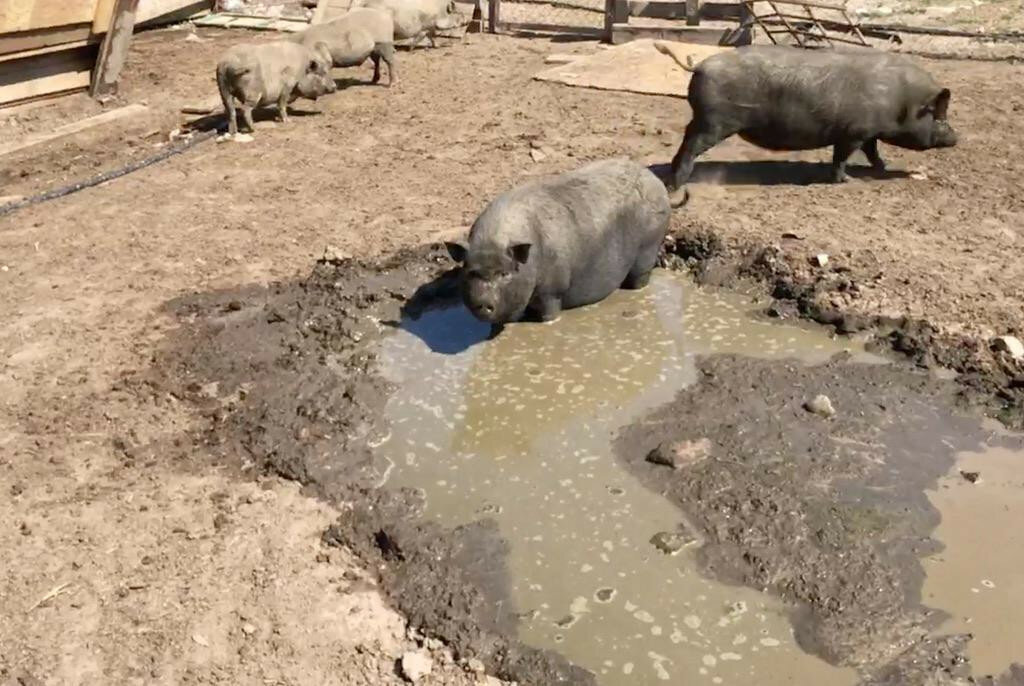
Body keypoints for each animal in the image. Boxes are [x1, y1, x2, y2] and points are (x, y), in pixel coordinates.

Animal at [446, 158, 671, 325]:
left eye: (504, 273)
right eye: (471, 272)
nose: (484, 303)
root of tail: (655, 180)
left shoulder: (552, 290)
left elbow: (549, 313)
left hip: (649, 243)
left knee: (640, 276)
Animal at [655, 45, 958, 206]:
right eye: (938, 116)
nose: (956, 137)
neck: (902, 100)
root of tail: (699, 67)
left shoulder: (866, 133)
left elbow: (873, 151)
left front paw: (882, 167)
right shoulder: (853, 133)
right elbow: (842, 157)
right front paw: (846, 180)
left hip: (703, 119)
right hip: (714, 122)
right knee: (691, 146)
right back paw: (678, 185)